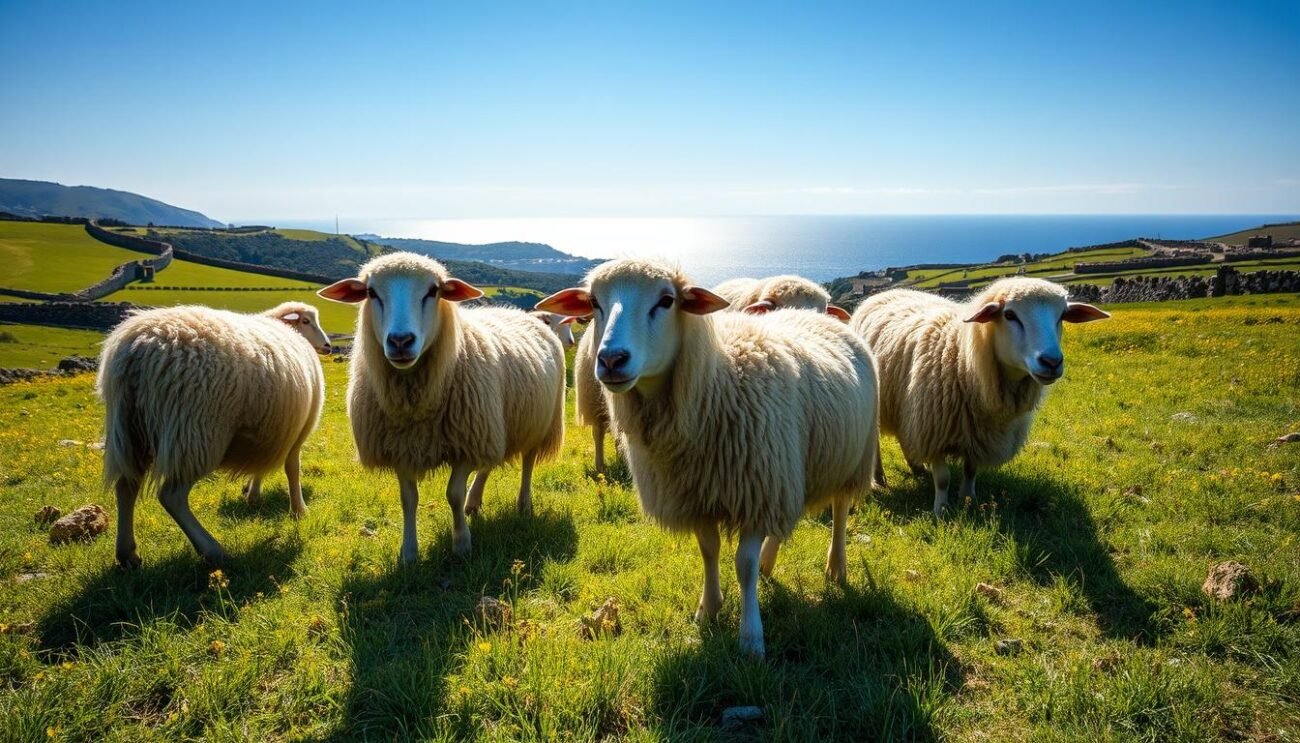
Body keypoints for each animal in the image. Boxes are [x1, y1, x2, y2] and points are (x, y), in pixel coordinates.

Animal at [96, 301, 330, 568]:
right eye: (306, 321)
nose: (328, 346)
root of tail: (138, 347)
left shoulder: (270, 429)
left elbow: (260, 466)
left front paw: (253, 494)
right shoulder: (297, 432)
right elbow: (293, 470)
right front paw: (299, 510)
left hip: (129, 431)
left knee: (126, 486)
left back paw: (127, 554)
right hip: (196, 433)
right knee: (172, 497)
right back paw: (213, 550)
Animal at [318, 251, 564, 566]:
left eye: (433, 291)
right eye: (371, 293)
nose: (400, 341)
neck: (416, 405)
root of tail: (521, 314)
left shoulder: (466, 443)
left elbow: (453, 495)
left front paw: (461, 544)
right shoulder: (401, 448)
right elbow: (408, 499)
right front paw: (409, 553)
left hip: (538, 422)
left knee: (528, 464)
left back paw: (523, 504)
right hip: (495, 424)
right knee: (491, 461)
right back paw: (475, 501)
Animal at [852, 275, 1107, 514]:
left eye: (1062, 316)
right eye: (1010, 315)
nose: (1052, 362)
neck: (962, 360)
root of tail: (883, 293)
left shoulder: (978, 435)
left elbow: (971, 470)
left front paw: (968, 500)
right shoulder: (934, 430)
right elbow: (943, 479)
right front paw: (941, 509)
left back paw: (917, 469)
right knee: (875, 444)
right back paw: (879, 479)